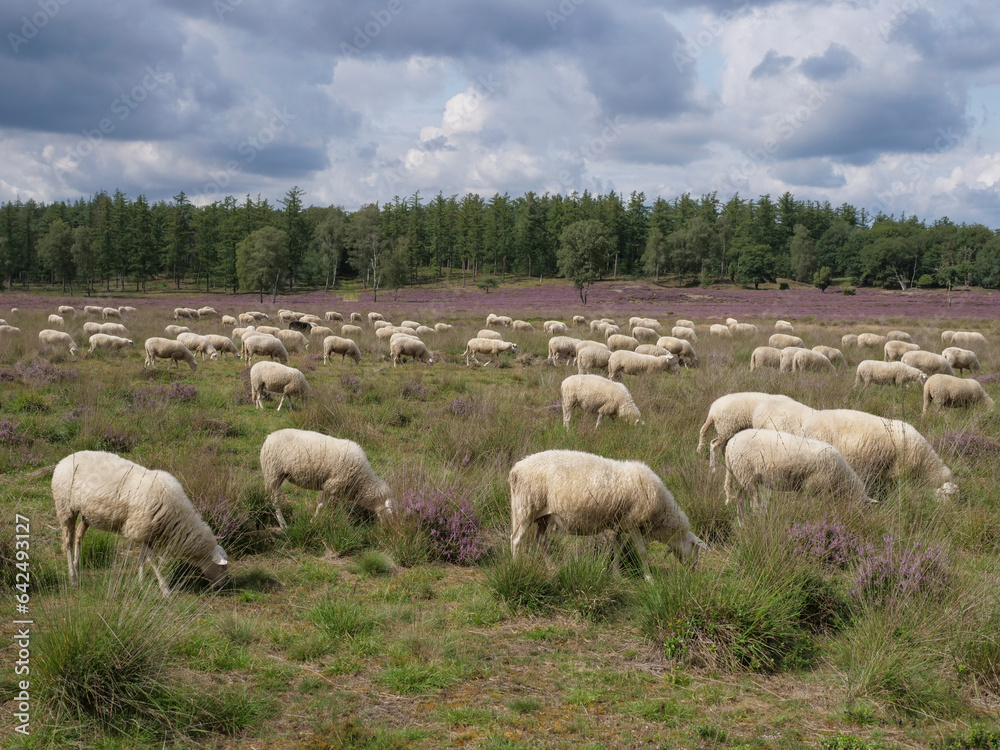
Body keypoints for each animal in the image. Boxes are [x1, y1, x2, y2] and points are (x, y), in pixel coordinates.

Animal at [53, 452, 229, 600]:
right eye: (222, 567)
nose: (222, 586)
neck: (178, 517)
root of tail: (65, 459)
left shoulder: (146, 533)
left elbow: (142, 557)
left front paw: (140, 582)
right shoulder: (142, 528)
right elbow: (152, 560)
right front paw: (165, 589)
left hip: (86, 514)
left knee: (79, 536)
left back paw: (77, 569)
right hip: (65, 508)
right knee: (68, 542)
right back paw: (73, 577)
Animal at [258, 428, 394, 528]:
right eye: (391, 514)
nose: (389, 531)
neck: (363, 483)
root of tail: (269, 436)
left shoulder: (340, 489)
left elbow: (340, 508)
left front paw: (344, 523)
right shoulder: (331, 485)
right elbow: (322, 506)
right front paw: (313, 521)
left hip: (277, 475)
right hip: (272, 472)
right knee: (275, 500)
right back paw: (283, 524)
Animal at [508, 450, 704, 584]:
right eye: (695, 549)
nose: (694, 571)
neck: (661, 513)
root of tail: (516, 469)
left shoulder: (619, 523)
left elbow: (617, 549)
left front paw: (615, 574)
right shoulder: (632, 522)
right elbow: (642, 551)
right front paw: (649, 579)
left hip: (543, 516)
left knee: (540, 540)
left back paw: (552, 567)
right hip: (525, 507)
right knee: (516, 539)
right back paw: (517, 567)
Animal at [724, 432, 872, 524]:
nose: (857, 520)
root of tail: (729, 445)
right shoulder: (816, 486)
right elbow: (817, 506)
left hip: (742, 476)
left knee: (739, 498)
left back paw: (742, 524)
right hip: (747, 475)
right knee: (754, 505)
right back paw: (760, 522)